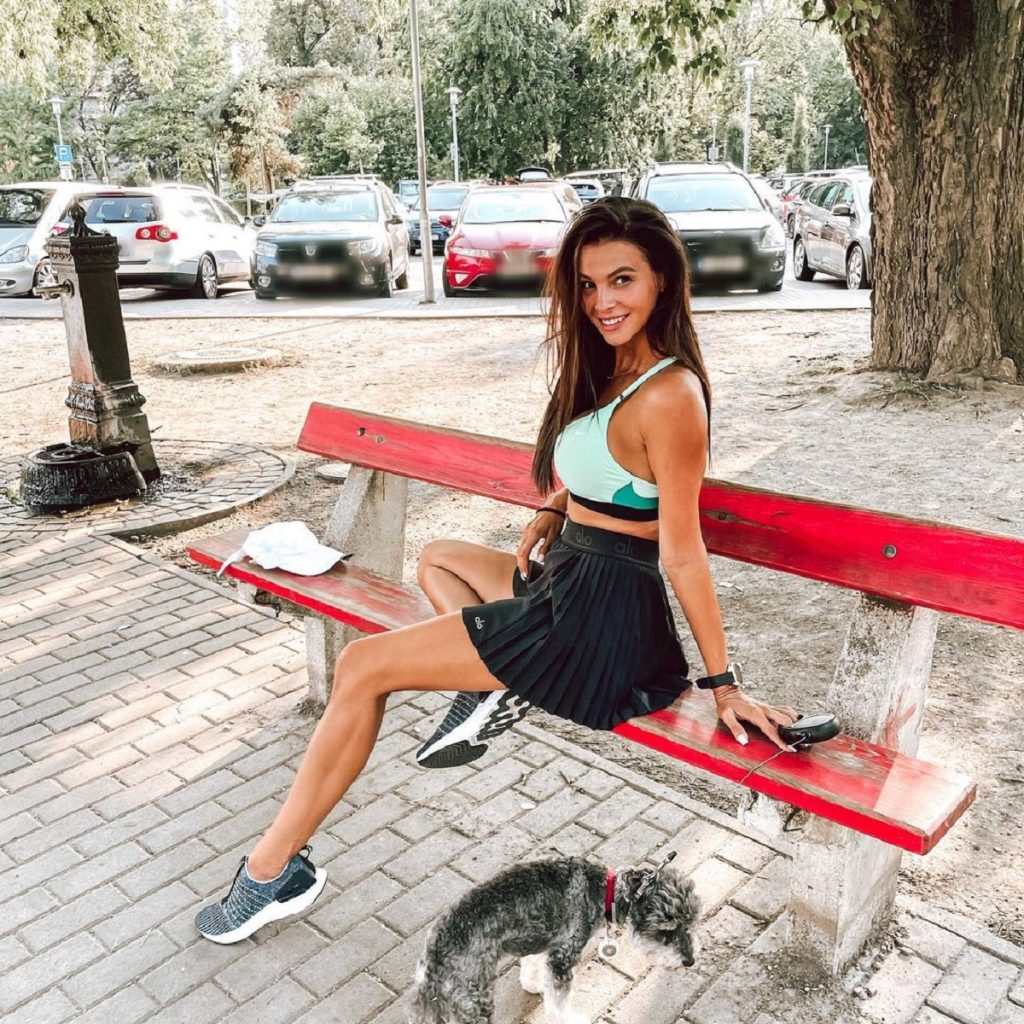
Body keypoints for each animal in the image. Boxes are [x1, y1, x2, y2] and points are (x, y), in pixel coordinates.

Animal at [410, 854, 700, 1024]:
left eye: (690, 924)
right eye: (666, 930)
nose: (689, 961)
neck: (602, 889)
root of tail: (434, 957)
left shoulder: (544, 941)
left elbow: (532, 965)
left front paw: (532, 984)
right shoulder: (564, 956)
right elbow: (560, 1003)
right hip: (475, 1004)